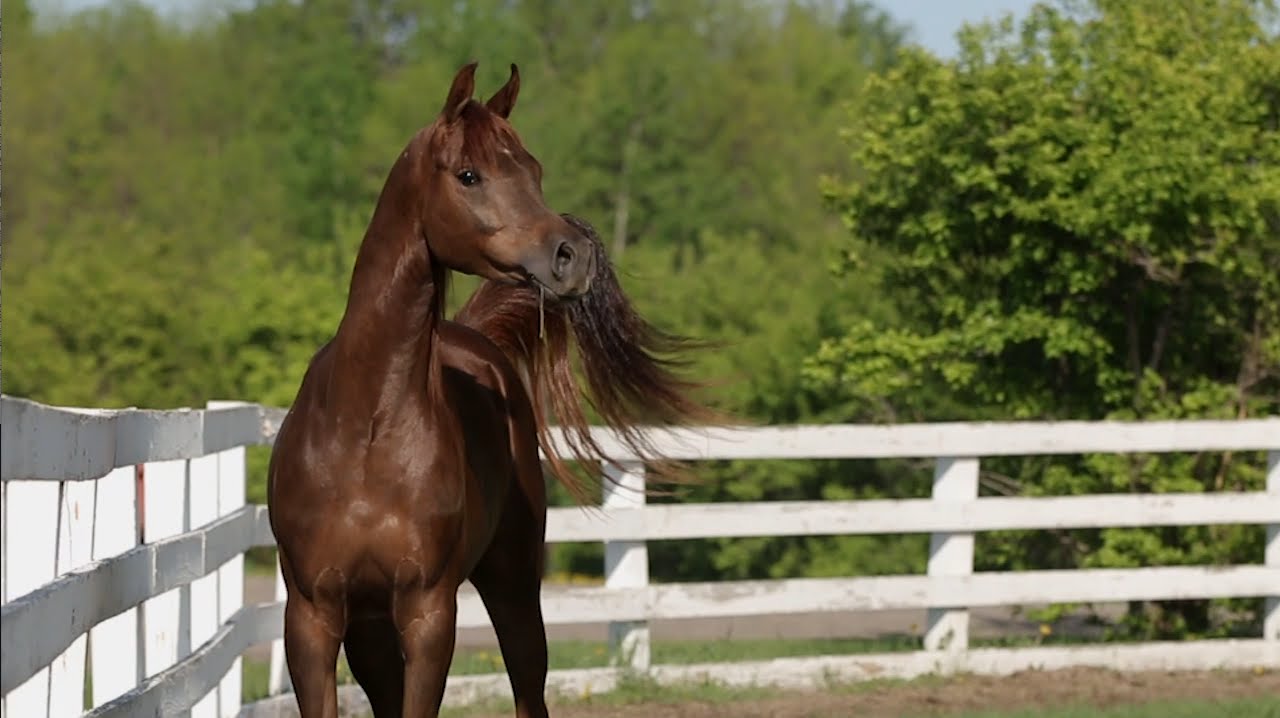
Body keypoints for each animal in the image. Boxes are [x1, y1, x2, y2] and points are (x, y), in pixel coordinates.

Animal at [267, 61, 715, 718]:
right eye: (469, 174)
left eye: (533, 169)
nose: (571, 255)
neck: (365, 433)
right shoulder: (313, 618)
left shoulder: (429, 613)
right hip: (371, 631)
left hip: (514, 591)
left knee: (529, 688)